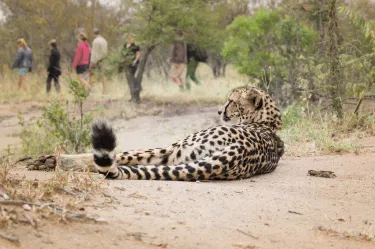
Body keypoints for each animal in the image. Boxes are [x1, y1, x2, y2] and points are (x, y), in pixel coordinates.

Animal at [92, 85, 284, 181]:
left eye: (231, 101)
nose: (219, 111)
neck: (267, 122)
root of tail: (240, 150)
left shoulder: (168, 148)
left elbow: (124, 154)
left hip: (176, 151)